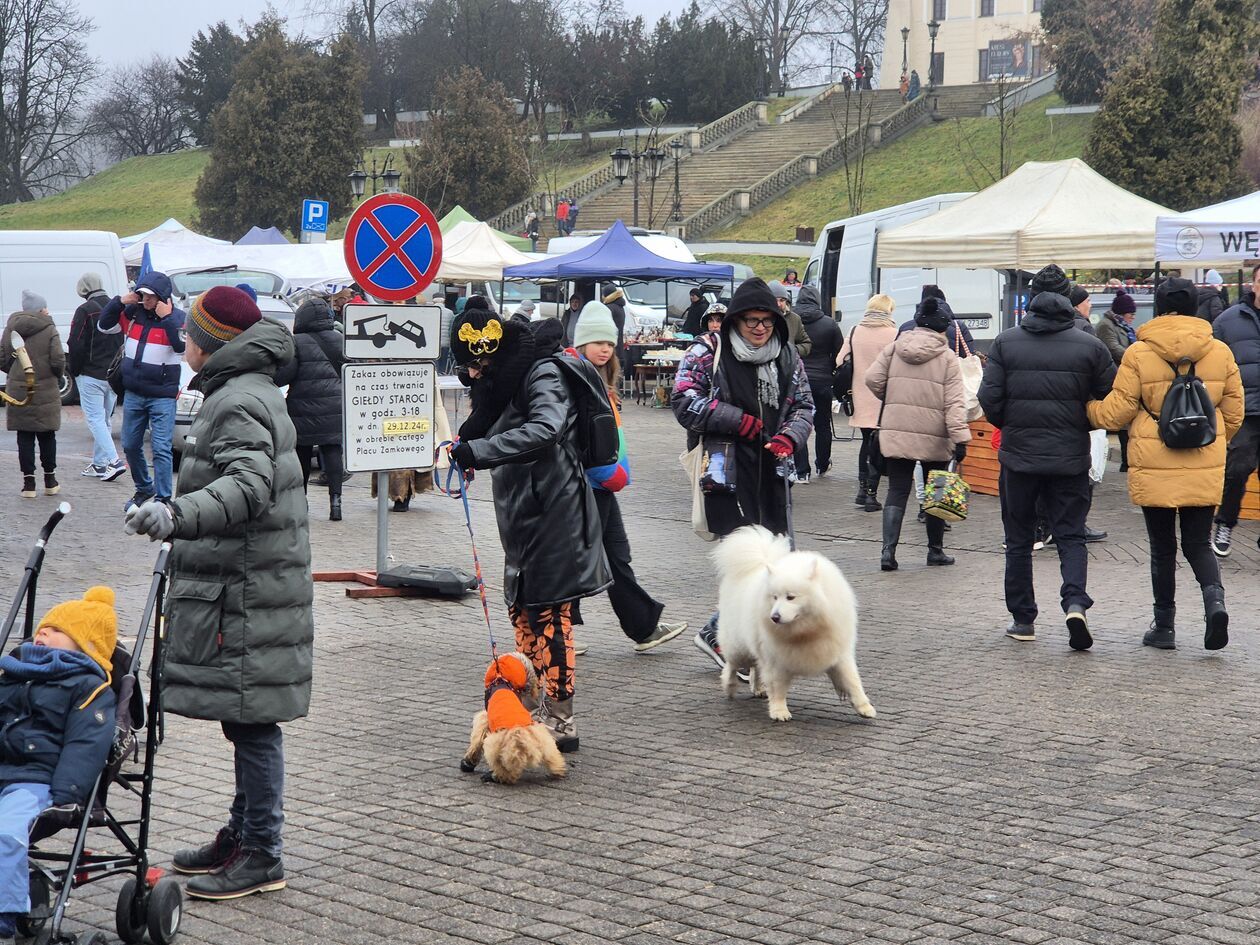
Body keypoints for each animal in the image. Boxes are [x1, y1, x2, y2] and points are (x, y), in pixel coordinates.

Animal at [458, 655, 567, 786]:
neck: (502, 680)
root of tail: (518, 734)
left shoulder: (485, 719)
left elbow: (477, 741)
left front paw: (468, 762)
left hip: (496, 747)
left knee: (506, 772)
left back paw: (493, 777)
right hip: (543, 739)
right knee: (552, 756)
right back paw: (558, 770)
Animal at [710, 526, 876, 725]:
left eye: (790, 597)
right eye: (775, 597)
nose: (774, 617)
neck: (807, 631)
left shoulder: (838, 653)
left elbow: (853, 681)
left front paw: (864, 708)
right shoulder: (776, 660)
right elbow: (778, 689)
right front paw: (779, 711)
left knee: (755, 667)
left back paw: (758, 688)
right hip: (740, 648)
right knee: (732, 665)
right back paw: (729, 686)